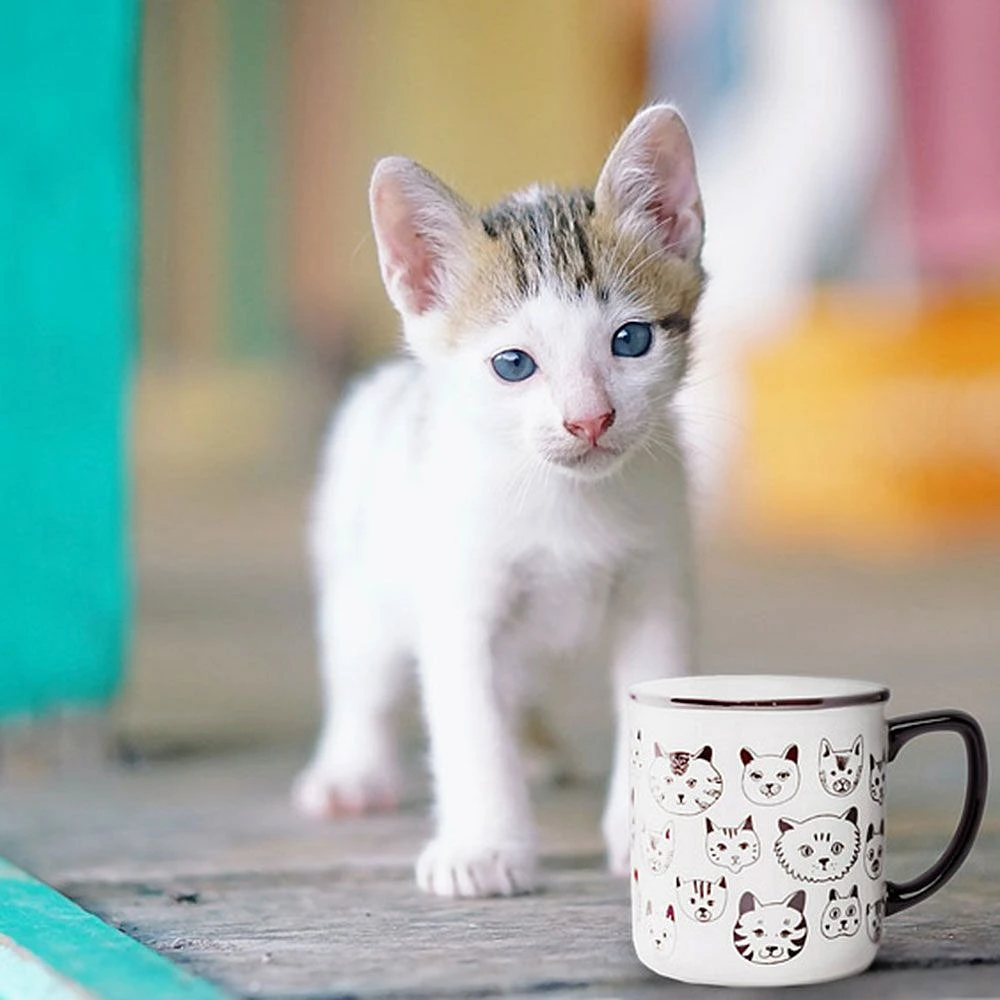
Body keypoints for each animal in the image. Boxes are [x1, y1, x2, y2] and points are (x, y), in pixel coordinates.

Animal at [292, 105, 708, 904]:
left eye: (631, 339)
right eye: (513, 364)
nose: (589, 420)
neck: (563, 500)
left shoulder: (658, 586)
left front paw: (645, 835)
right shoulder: (459, 606)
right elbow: (469, 728)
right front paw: (483, 846)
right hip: (364, 581)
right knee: (361, 675)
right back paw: (351, 770)